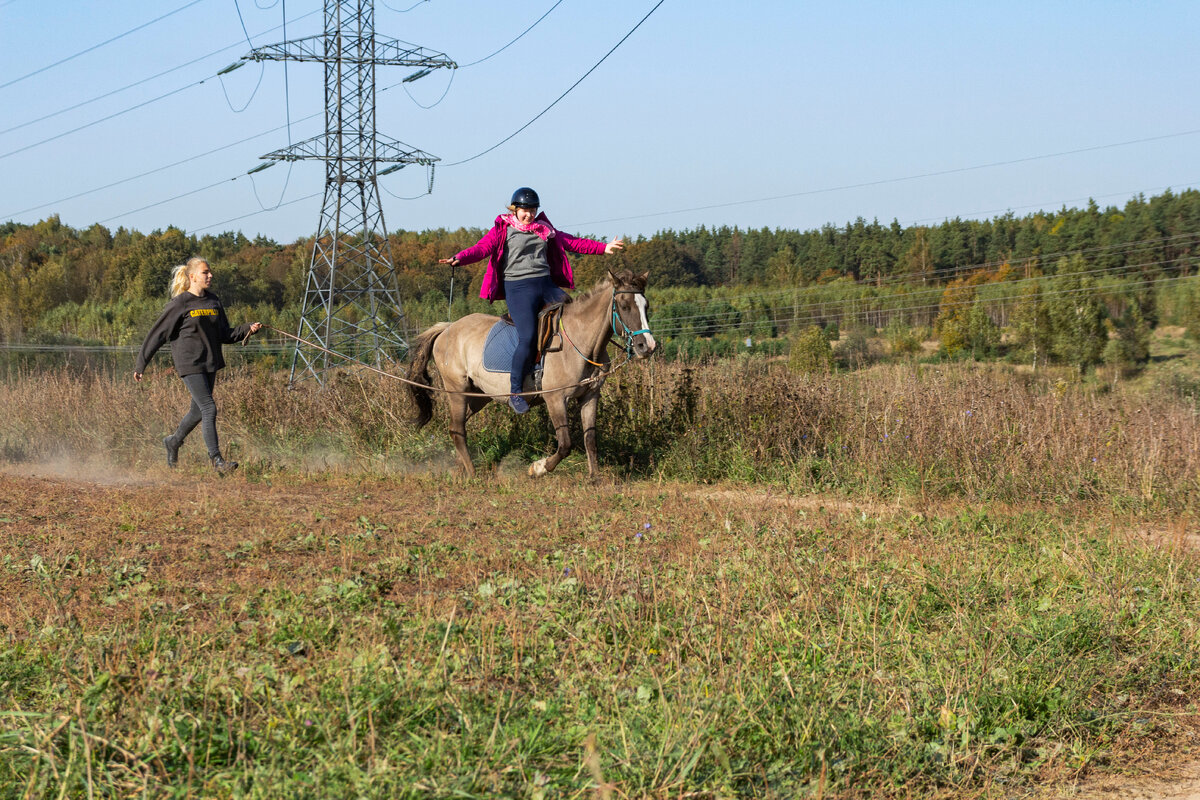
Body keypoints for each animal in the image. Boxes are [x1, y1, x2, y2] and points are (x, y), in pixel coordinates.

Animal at [410, 272, 657, 479]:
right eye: (624, 306)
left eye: (646, 306)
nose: (647, 346)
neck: (580, 342)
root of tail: (447, 328)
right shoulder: (556, 398)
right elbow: (565, 444)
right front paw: (538, 468)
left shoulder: (590, 396)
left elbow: (590, 439)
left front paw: (595, 477)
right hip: (457, 392)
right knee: (458, 430)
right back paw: (472, 473)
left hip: (478, 396)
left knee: (456, 427)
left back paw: (460, 467)